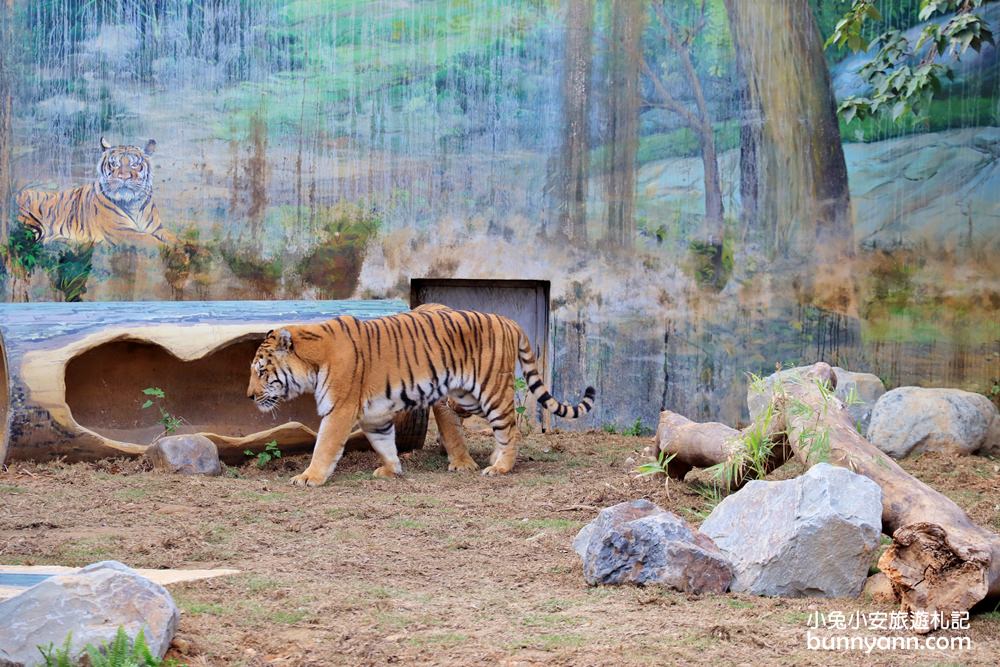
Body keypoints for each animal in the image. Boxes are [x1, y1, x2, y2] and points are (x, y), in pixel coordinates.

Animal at [15, 137, 170, 247]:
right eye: (114, 164)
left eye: (135, 164)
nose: (124, 177)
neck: (133, 204)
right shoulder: (122, 232)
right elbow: (151, 241)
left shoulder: (157, 228)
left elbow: (171, 237)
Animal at [248, 302, 592, 486]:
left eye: (261, 371)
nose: (250, 396)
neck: (313, 359)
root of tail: (507, 320)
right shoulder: (375, 415)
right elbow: (384, 443)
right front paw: (391, 470)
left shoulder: (339, 410)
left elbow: (324, 446)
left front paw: (310, 477)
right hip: (465, 397)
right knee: (502, 425)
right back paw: (494, 458)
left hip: (490, 391)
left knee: (509, 427)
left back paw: (500, 467)